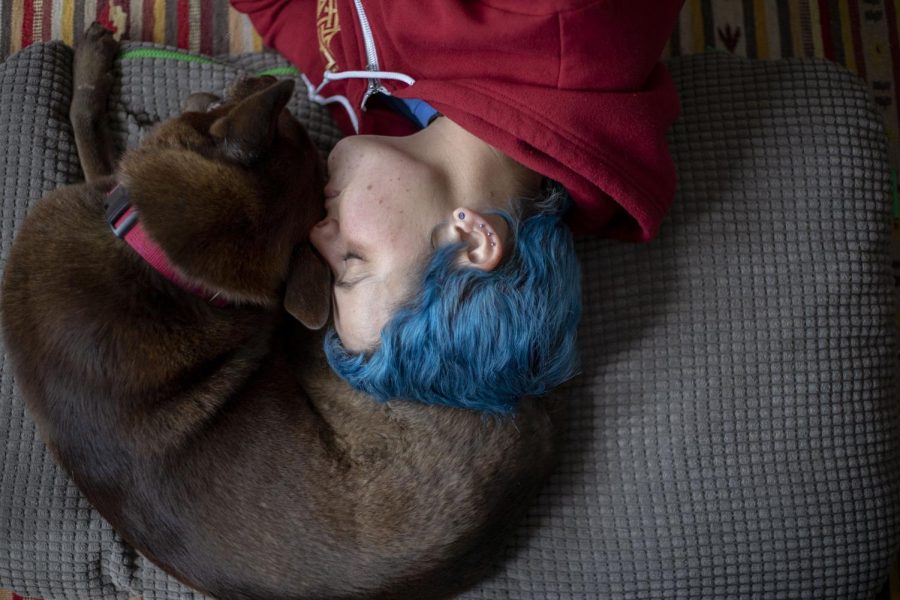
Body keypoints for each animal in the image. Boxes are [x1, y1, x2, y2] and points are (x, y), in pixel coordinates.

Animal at [0, 23, 560, 600]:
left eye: (221, 102)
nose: (261, 79)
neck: (169, 268)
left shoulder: (98, 191)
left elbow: (90, 139)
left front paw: (90, 66)